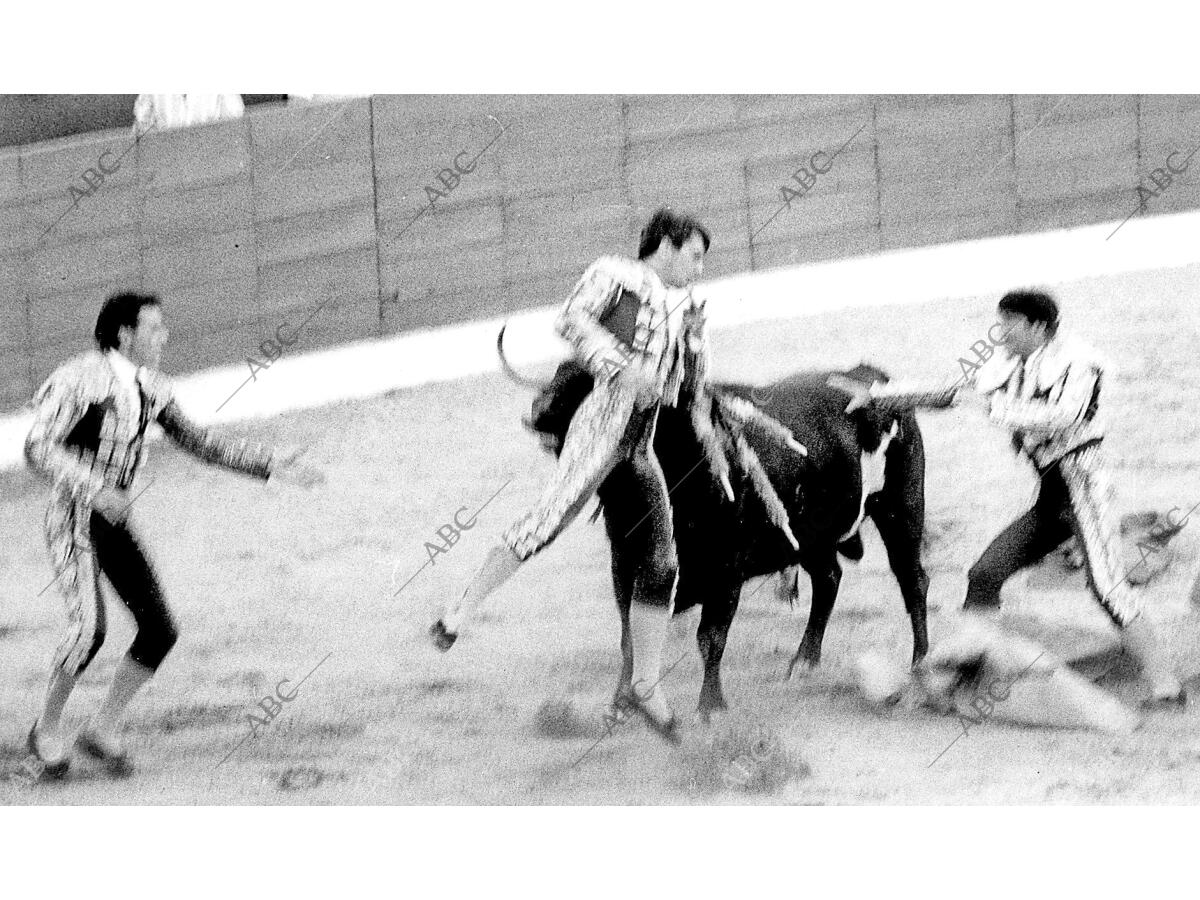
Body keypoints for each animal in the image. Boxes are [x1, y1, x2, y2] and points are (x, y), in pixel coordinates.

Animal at [530, 362, 931, 724]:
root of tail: (869, 376)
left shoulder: (726, 571)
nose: (538, 411)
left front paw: (711, 707)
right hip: (810, 536)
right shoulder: (624, 565)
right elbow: (630, 638)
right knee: (829, 578)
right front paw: (619, 705)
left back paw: (919, 667)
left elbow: (710, 637)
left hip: (901, 509)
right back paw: (804, 662)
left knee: (912, 581)